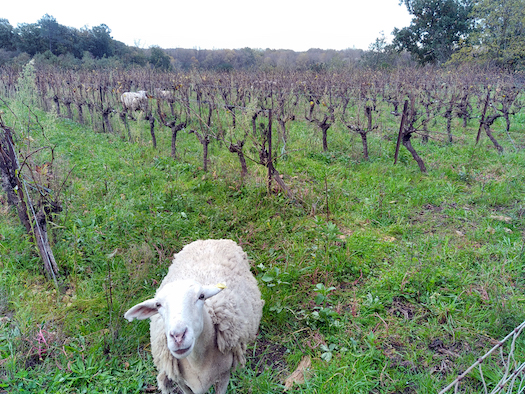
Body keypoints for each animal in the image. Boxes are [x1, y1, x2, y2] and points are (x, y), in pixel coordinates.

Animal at [122, 239, 262, 392]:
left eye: (201, 296)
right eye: (158, 305)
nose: (178, 336)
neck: (197, 362)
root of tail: (209, 240)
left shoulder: (224, 374)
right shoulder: (181, 381)